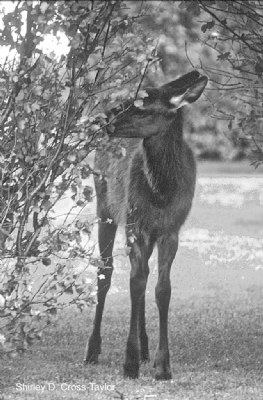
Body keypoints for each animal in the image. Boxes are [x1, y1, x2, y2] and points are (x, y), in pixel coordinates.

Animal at [85, 70, 209, 380]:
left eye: (142, 104)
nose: (101, 120)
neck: (161, 193)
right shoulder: (135, 224)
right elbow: (136, 283)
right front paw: (129, 363)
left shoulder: (170, 229)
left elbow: (162, 289)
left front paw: (162, 365)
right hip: (105, 207)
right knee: (106, 272)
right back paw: (93, 349)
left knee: (140, 274)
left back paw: (144, 349)